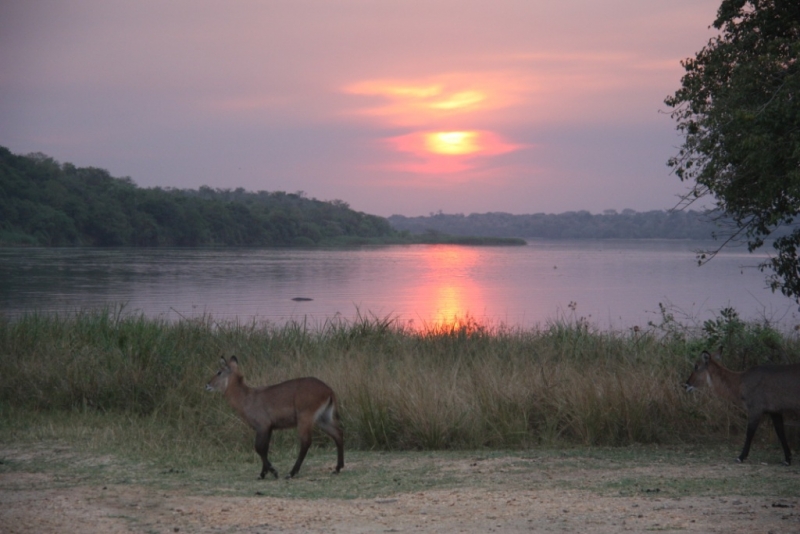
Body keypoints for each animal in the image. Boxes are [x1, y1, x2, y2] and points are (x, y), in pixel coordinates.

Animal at [205, 358, 342, 480]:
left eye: (219, 372)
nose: (207, 385)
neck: (246, 397)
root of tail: (328, 389)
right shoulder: (269, 428)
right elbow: (265, 449)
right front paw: (263, 474)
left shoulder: (262, 426)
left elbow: (259, 448)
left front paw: (272, 472)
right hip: (323, 419)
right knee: (338, 434)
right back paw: (337, 468)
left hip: (305, 419)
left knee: (306, 442)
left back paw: (291, 473)